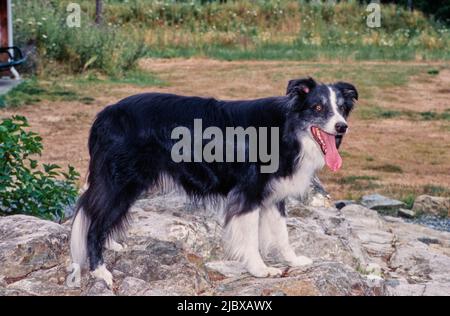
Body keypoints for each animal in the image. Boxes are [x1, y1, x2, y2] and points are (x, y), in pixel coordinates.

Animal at [67, 77, 356, 288]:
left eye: (341, 109)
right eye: (318, 108)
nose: (342, 126)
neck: (287, 128)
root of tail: (103, 115)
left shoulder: (274, 195)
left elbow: (282, 234)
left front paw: (294, 261)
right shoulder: (248, 193)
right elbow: (251, 237)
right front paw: (260, 269)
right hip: (120, 181)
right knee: (94, 221)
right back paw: (100, 271)